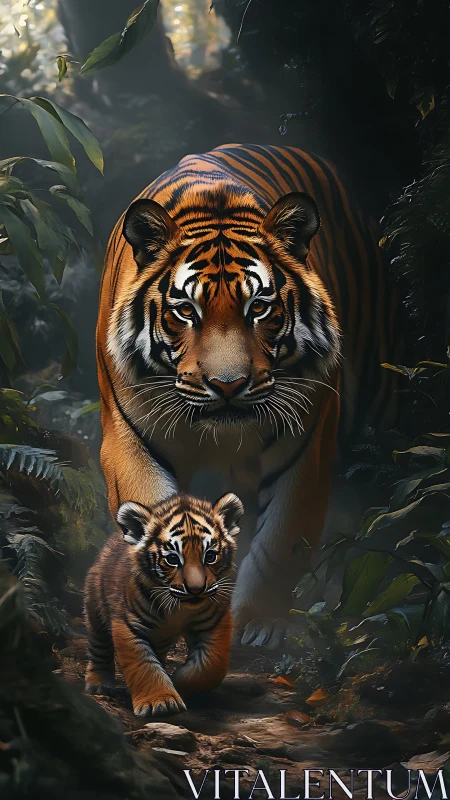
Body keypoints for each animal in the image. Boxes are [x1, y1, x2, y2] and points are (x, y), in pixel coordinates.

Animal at [84, 491, 243, 716]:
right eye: (173, 559)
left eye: (210, 556)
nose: (196, 589)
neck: (179, 608)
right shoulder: (129, 624)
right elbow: (143, 665)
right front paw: (159, 702)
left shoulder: (216, 621)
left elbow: (210, 665)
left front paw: (179, 682)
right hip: (95, 608)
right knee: (99, 647)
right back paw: (99, 684)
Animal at [96, 143, 400, 651]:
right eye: (186, 311)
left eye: (258, 307)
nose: (227, 385)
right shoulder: (129, 439)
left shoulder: (308, 439)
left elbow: (283, 539)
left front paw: (259, 623)